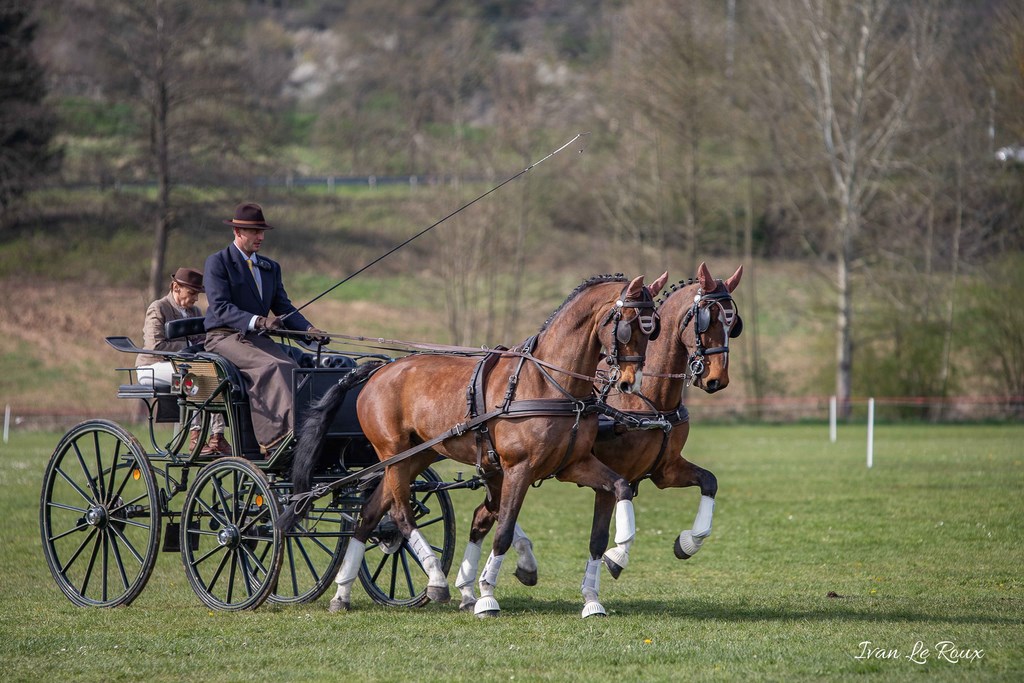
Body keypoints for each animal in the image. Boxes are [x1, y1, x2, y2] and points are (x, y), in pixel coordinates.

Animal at [290, 274, 671, 618]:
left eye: (653, 329)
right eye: (628, 326)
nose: (630, 382)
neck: (550, 383)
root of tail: (379, 370)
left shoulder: (573, 465)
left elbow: (618, 491)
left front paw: (613, 563)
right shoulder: (519, 468)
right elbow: (502, 530)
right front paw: (487, 595)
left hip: (416, 455)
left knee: (369, 514)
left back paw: (342, 593)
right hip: (393, 454)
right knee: (400, 514)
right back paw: (436, 580)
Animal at [452, 264, 741, 618]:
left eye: (733, 323)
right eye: (706, 318)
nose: (716, 379)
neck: (648, 400)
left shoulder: (666, 470)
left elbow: (709, 482)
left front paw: (688, 542)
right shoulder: (610, 475)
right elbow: (601, 535)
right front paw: (617, 557)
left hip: (499, 470)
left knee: (485, 515)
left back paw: (472, 587)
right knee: (494, 514)